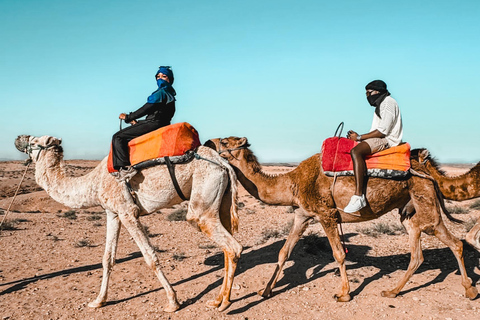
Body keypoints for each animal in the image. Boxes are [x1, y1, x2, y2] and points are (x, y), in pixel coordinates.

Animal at [15, 134, 244, 312]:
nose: (18, 138)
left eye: (34, 140)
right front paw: (98, 301)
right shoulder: (112, 213)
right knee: (227, 246)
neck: (93, 183)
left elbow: (150, 257)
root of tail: (223, 163)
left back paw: (224, 304)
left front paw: (173, 302)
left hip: (202, 203)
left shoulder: (128, 212)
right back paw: (217, 300)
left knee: (232, 245)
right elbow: (107, 259)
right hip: (221, 201)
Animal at [204, 138, 478, 302]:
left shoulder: (326, 214)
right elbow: (283, 252)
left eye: (226, 141)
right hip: (408, 209)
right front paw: (266, 289)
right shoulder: (302, 215)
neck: (292, 182)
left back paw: (469, 290)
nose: (208, 141)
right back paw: (393, 291)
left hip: (424, 199)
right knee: (421, 252)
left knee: (452, 241)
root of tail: (425, 167)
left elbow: (338, 253)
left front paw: (344, 294)